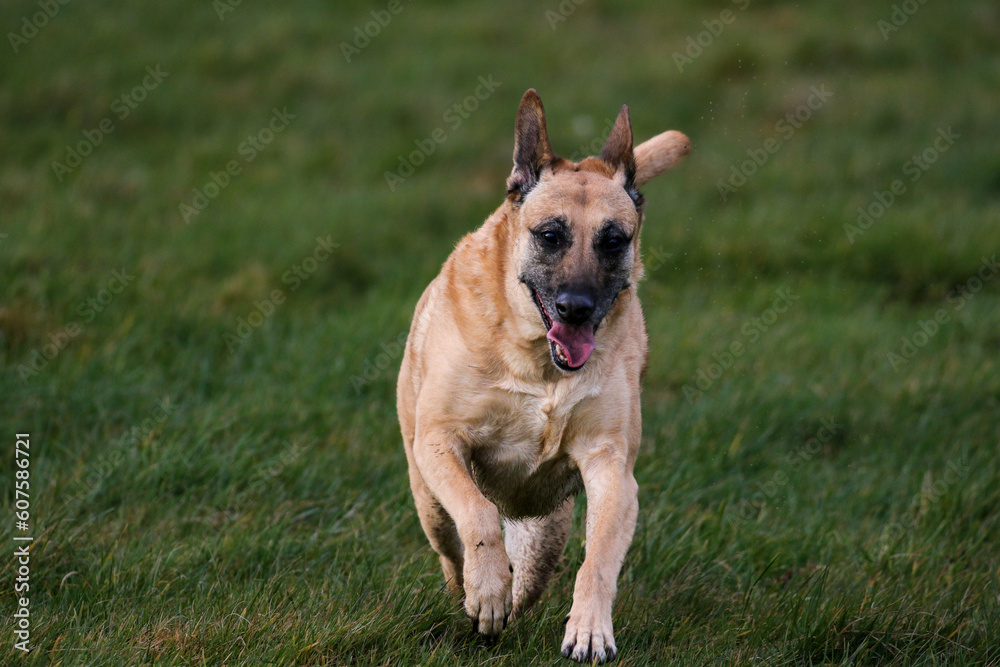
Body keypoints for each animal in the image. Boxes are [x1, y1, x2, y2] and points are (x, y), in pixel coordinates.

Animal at [396, 90, 688, 664]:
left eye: (613, 240)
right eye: (550, 235)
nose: (576, 307)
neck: (538, 362)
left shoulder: (610, 466)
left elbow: (600, 557)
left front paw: (590, 630)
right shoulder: (441, 440)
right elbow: (477, 514)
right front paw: (486, 591)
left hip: (547, 523)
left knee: (535, 570)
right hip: (428, 498)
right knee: (454, 546)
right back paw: (474, 593)